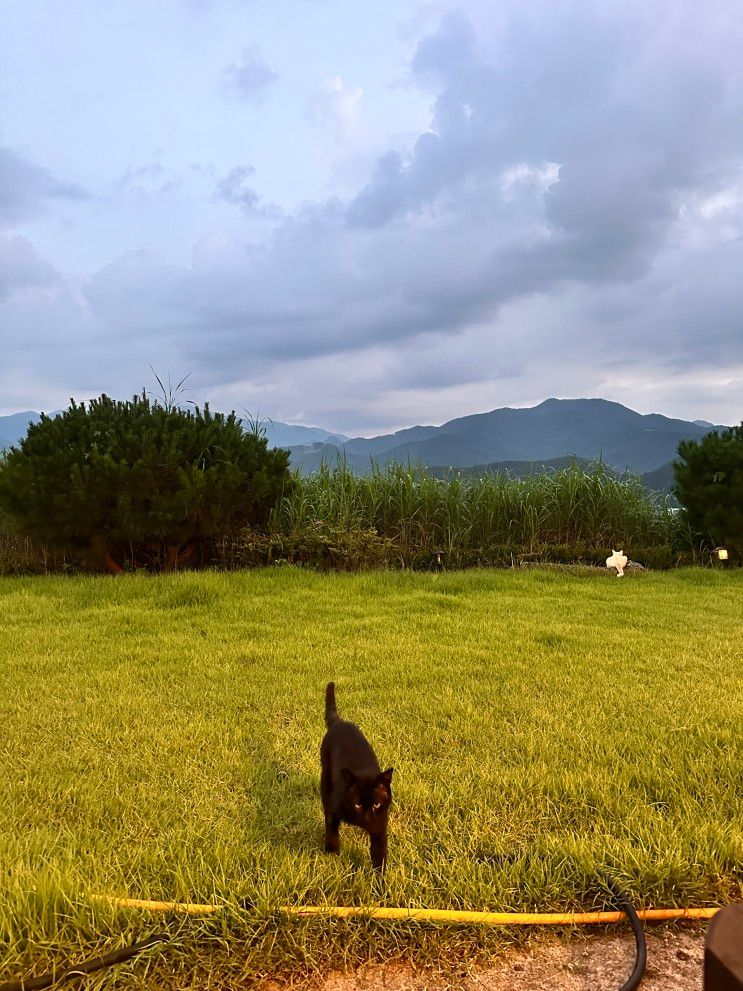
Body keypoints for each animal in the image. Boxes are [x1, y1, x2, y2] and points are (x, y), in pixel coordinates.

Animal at [320, 684, 396, 872]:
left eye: (376, 804)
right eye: (357, 805)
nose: (367, 819)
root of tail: (339, 722)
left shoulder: (380, 828)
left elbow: (379, 856)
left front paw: (379, 879)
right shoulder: (333, 809)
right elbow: (331, 829)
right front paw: (332, 853)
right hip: (325, 780)